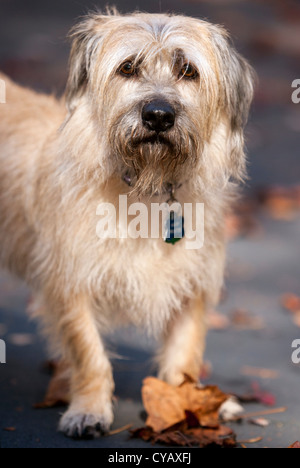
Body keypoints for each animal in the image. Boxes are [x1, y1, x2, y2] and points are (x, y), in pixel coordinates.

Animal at [0, 9, 253, 436]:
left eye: (188, 70)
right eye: (128, 67)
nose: (158, 115)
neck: (145, 189)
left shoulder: (192, 283)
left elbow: (184, 355)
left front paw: (190, 403)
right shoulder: (71, 283)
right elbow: (89, 354)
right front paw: (89, 409)